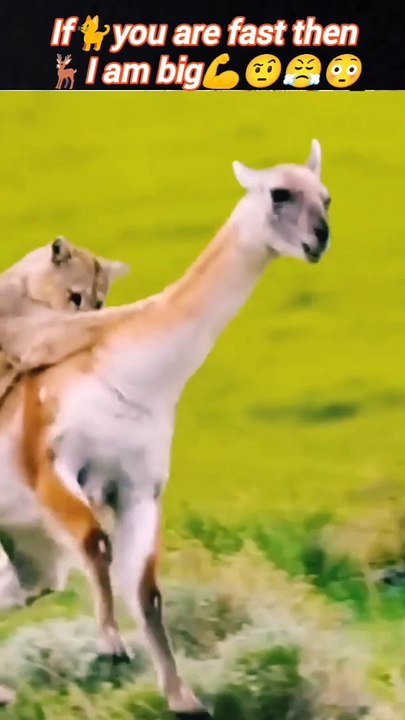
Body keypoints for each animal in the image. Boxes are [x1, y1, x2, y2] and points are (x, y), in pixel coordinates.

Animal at [0, 141, 330, 717]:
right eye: (279, 193)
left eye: (326, 196)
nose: (320, 237)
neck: (133, 374)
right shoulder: (50, 465)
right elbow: (95, 541)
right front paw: (111, 646)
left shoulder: (138, 490)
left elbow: (148, 592)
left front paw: (184, 698)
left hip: (32, 559)